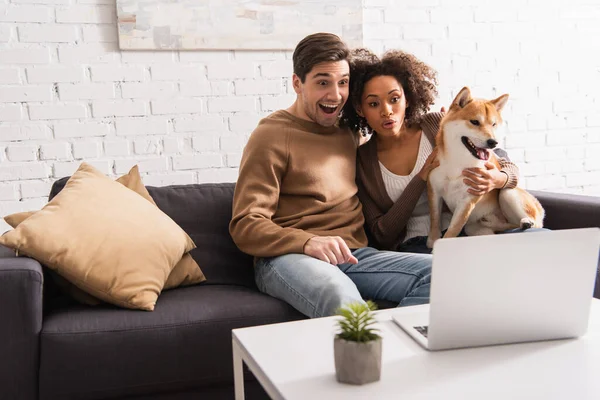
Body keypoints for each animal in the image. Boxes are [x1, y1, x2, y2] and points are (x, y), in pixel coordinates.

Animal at [426, 88, 544, 247]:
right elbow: (434, 219)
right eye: (475, 122)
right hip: (473, 228)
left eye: (493, 124)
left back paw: (526, 222)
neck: (458, 162)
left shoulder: (467, 200)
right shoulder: (434, 191)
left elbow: (453, 229)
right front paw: (433, 240)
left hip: (508, 193)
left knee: (535, 224)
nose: (493, 142)